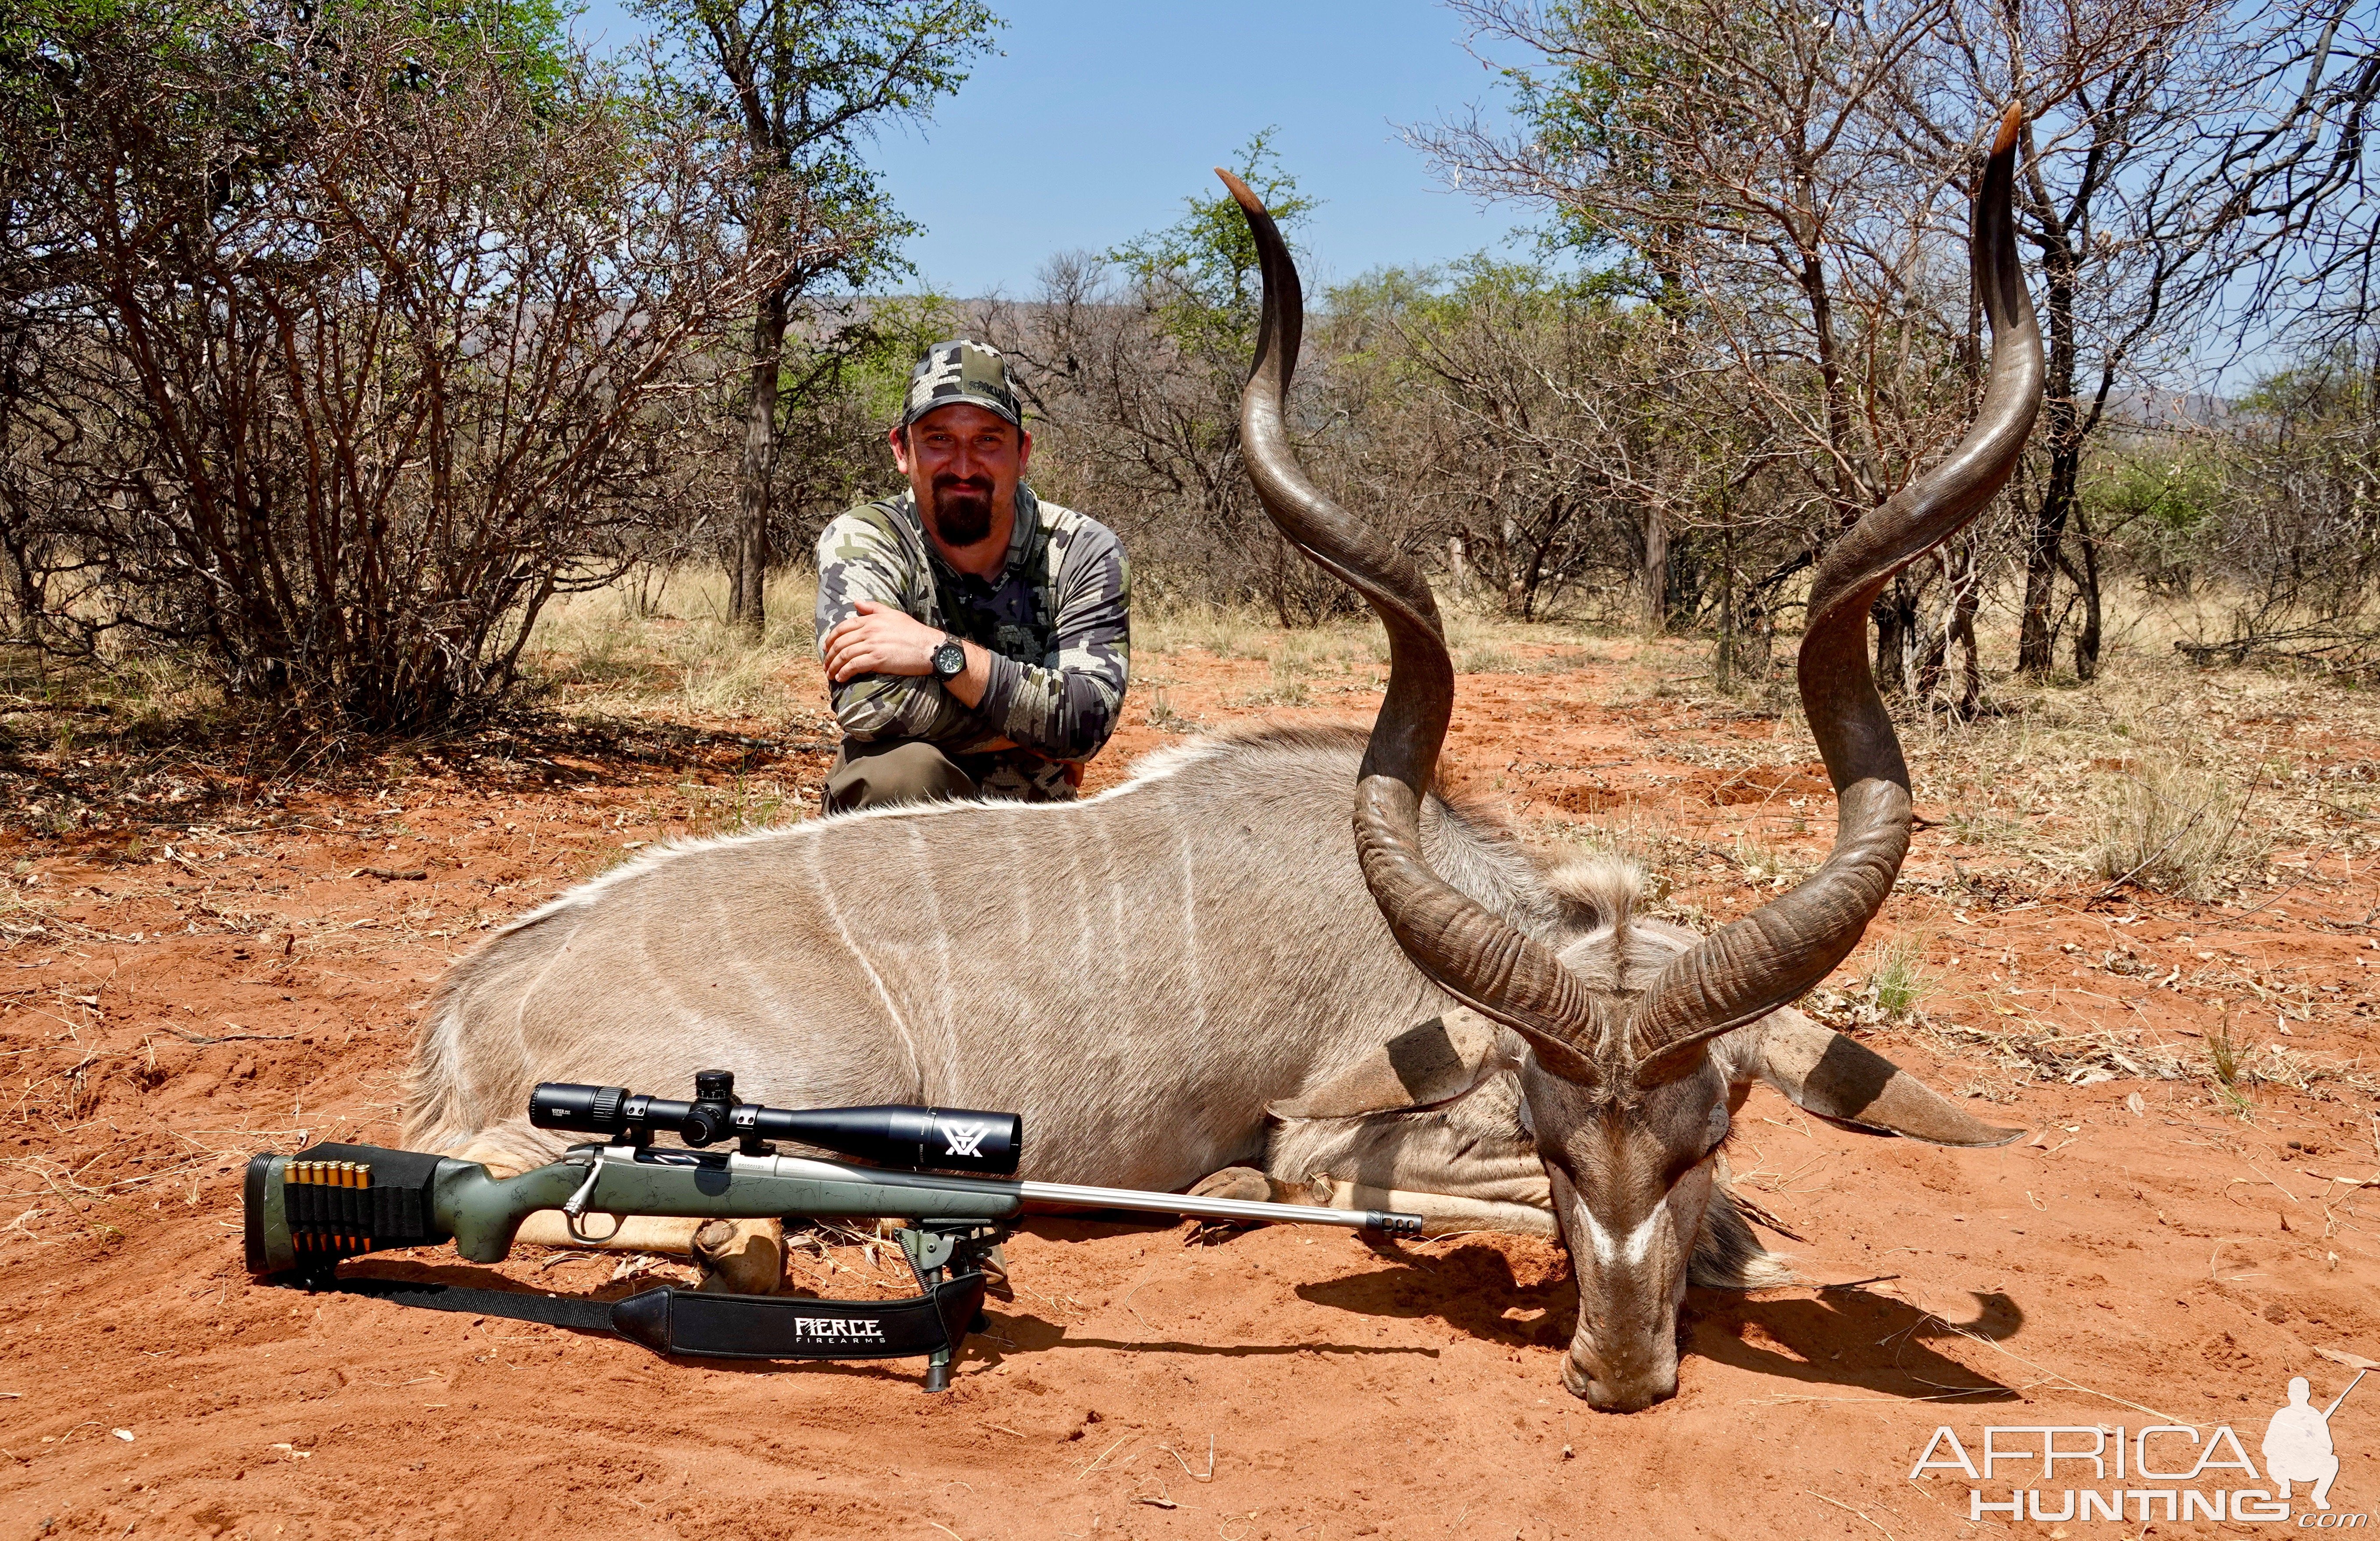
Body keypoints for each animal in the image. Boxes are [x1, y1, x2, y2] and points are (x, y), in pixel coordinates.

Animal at [400, 108, 2037, 1408]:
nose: (1618, 1372)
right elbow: (1670, 1232)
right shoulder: (1352, 1132)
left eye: (1712, 1123)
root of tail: (470, 1010)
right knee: (586, 1191)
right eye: (1558, 1140)